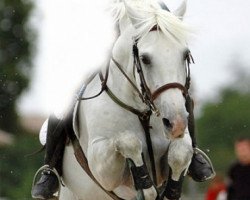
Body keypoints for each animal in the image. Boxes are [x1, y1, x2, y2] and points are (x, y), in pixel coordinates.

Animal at [59, 0, 192, 199]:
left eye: (185, 54)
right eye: (145, 59)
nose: (176, 124)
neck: (141, 111)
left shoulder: (180, 141)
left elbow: (181, 153)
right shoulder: (101, 165)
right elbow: (128, 140)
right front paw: (145, 186)